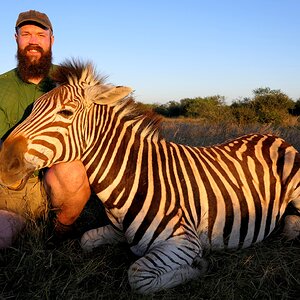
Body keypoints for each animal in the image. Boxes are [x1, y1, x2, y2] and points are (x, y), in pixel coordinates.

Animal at [0, 59, 298, 294]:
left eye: (66, 112)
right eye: (31, 109)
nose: (3, 162)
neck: (134, 179)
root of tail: (271, 135)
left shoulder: (184, 242)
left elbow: (138, 275)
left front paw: (198, 267)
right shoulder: (116, 230)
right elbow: (86, 240)